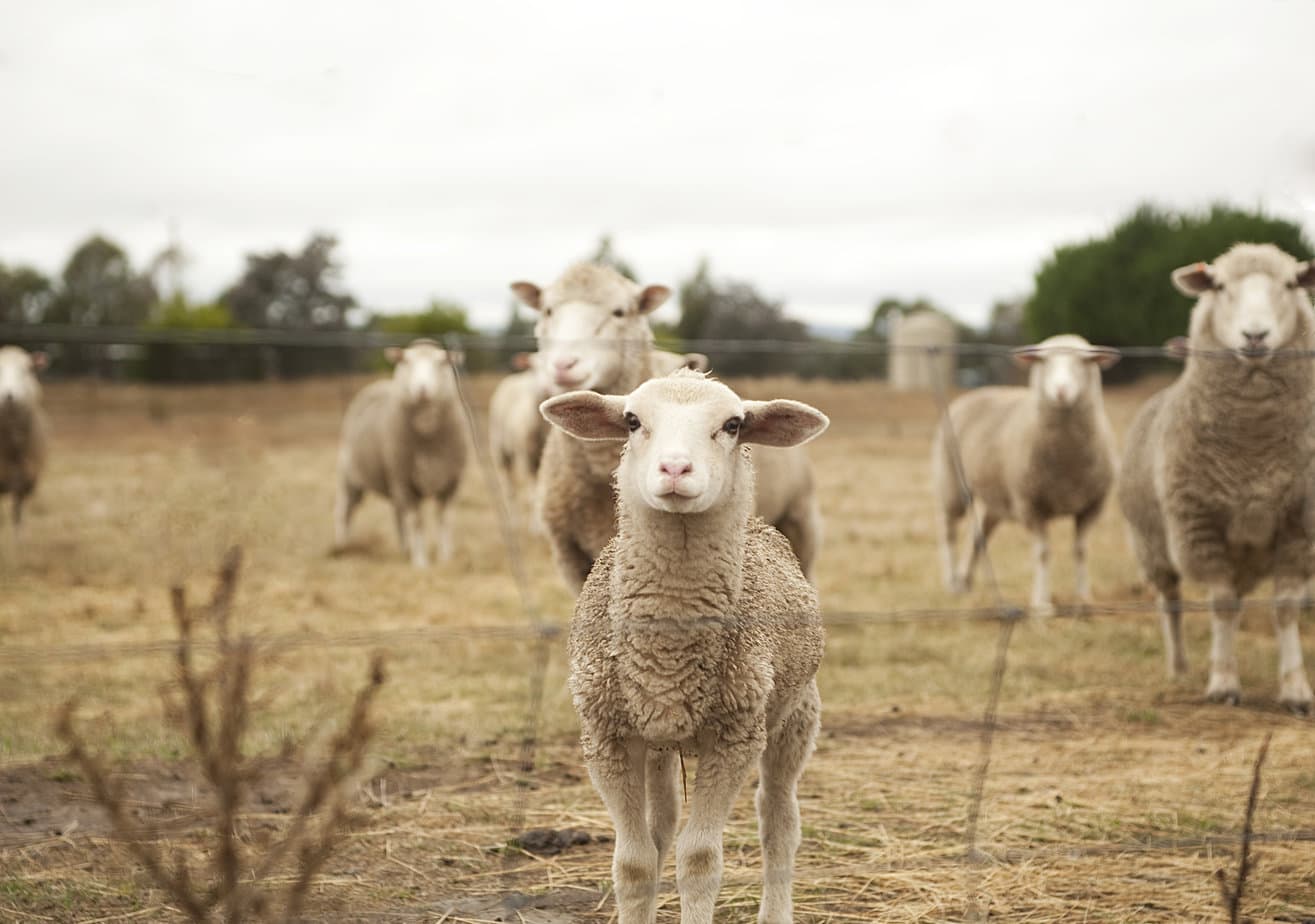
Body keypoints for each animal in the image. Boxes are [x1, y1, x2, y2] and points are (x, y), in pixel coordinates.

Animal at [544, 368, 831, 924]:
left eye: (733, 424)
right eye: (632, 421)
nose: (675, 468)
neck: (668, 648)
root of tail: (761, 525)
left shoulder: (735, 737)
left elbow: (699, 860)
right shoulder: (606, 735)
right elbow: (634, 862)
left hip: (795, 713)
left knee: (779, 821)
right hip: (658, 740)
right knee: (660, 828)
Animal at [925, 333, 1120, 615]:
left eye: (1085, 361)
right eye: (1042, 361)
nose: (1061, 391)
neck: (1067, 462)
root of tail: (978, 392)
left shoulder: (1092, 506)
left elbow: (1081, 550)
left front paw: (1084, 599)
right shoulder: (1031, 505)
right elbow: (1043, 553)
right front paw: (1042, 605)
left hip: (996, 500)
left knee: (978, 536)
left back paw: (964, 581)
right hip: (952, 485)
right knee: (948, 531)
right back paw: (951, 581)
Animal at [1120, 241, 1315, 709]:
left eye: (1289, 284)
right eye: (1221, 286)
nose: (1255, 336)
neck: (1255, 449)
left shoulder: (1299, 527)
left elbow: (1285, 608)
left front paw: (1295, 688)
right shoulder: (1200, 526)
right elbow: (1222, 605)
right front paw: (1223, 683)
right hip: (1152, 545)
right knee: (1170, 604)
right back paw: (1179, 667)